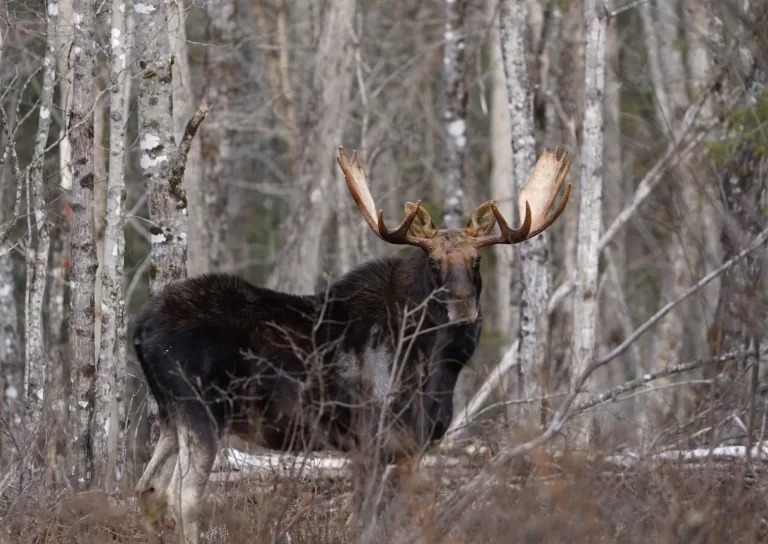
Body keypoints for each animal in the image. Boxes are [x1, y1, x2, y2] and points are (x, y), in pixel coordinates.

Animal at [131, 147, 571, 543]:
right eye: (434, 263)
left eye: (476, 261)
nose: (462, 306)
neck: (439, 362)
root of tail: (138, 327)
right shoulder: (373, 437)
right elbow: (369, 521)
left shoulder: (408, 448)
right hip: (200, 408)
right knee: (183, 496)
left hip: (170, 411)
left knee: (148, 488)